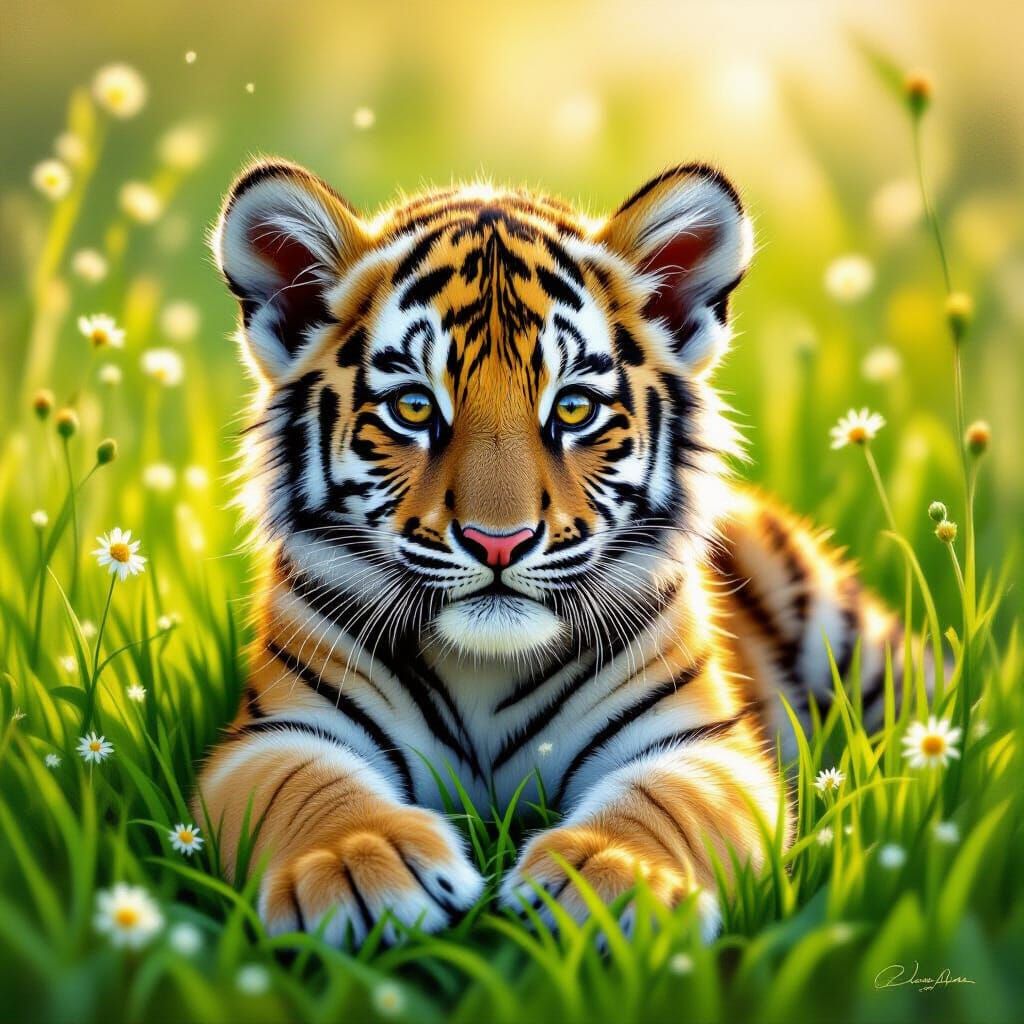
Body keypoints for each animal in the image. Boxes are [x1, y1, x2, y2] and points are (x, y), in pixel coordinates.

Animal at [194, 159, 907, 944]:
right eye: (414, 407)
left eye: (573, 408)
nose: (497, 542)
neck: (483, 669)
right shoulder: (274, 733)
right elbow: (307, 787)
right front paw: (359, 868)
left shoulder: (701, 742)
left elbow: (666, 801)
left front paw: (612, 883)